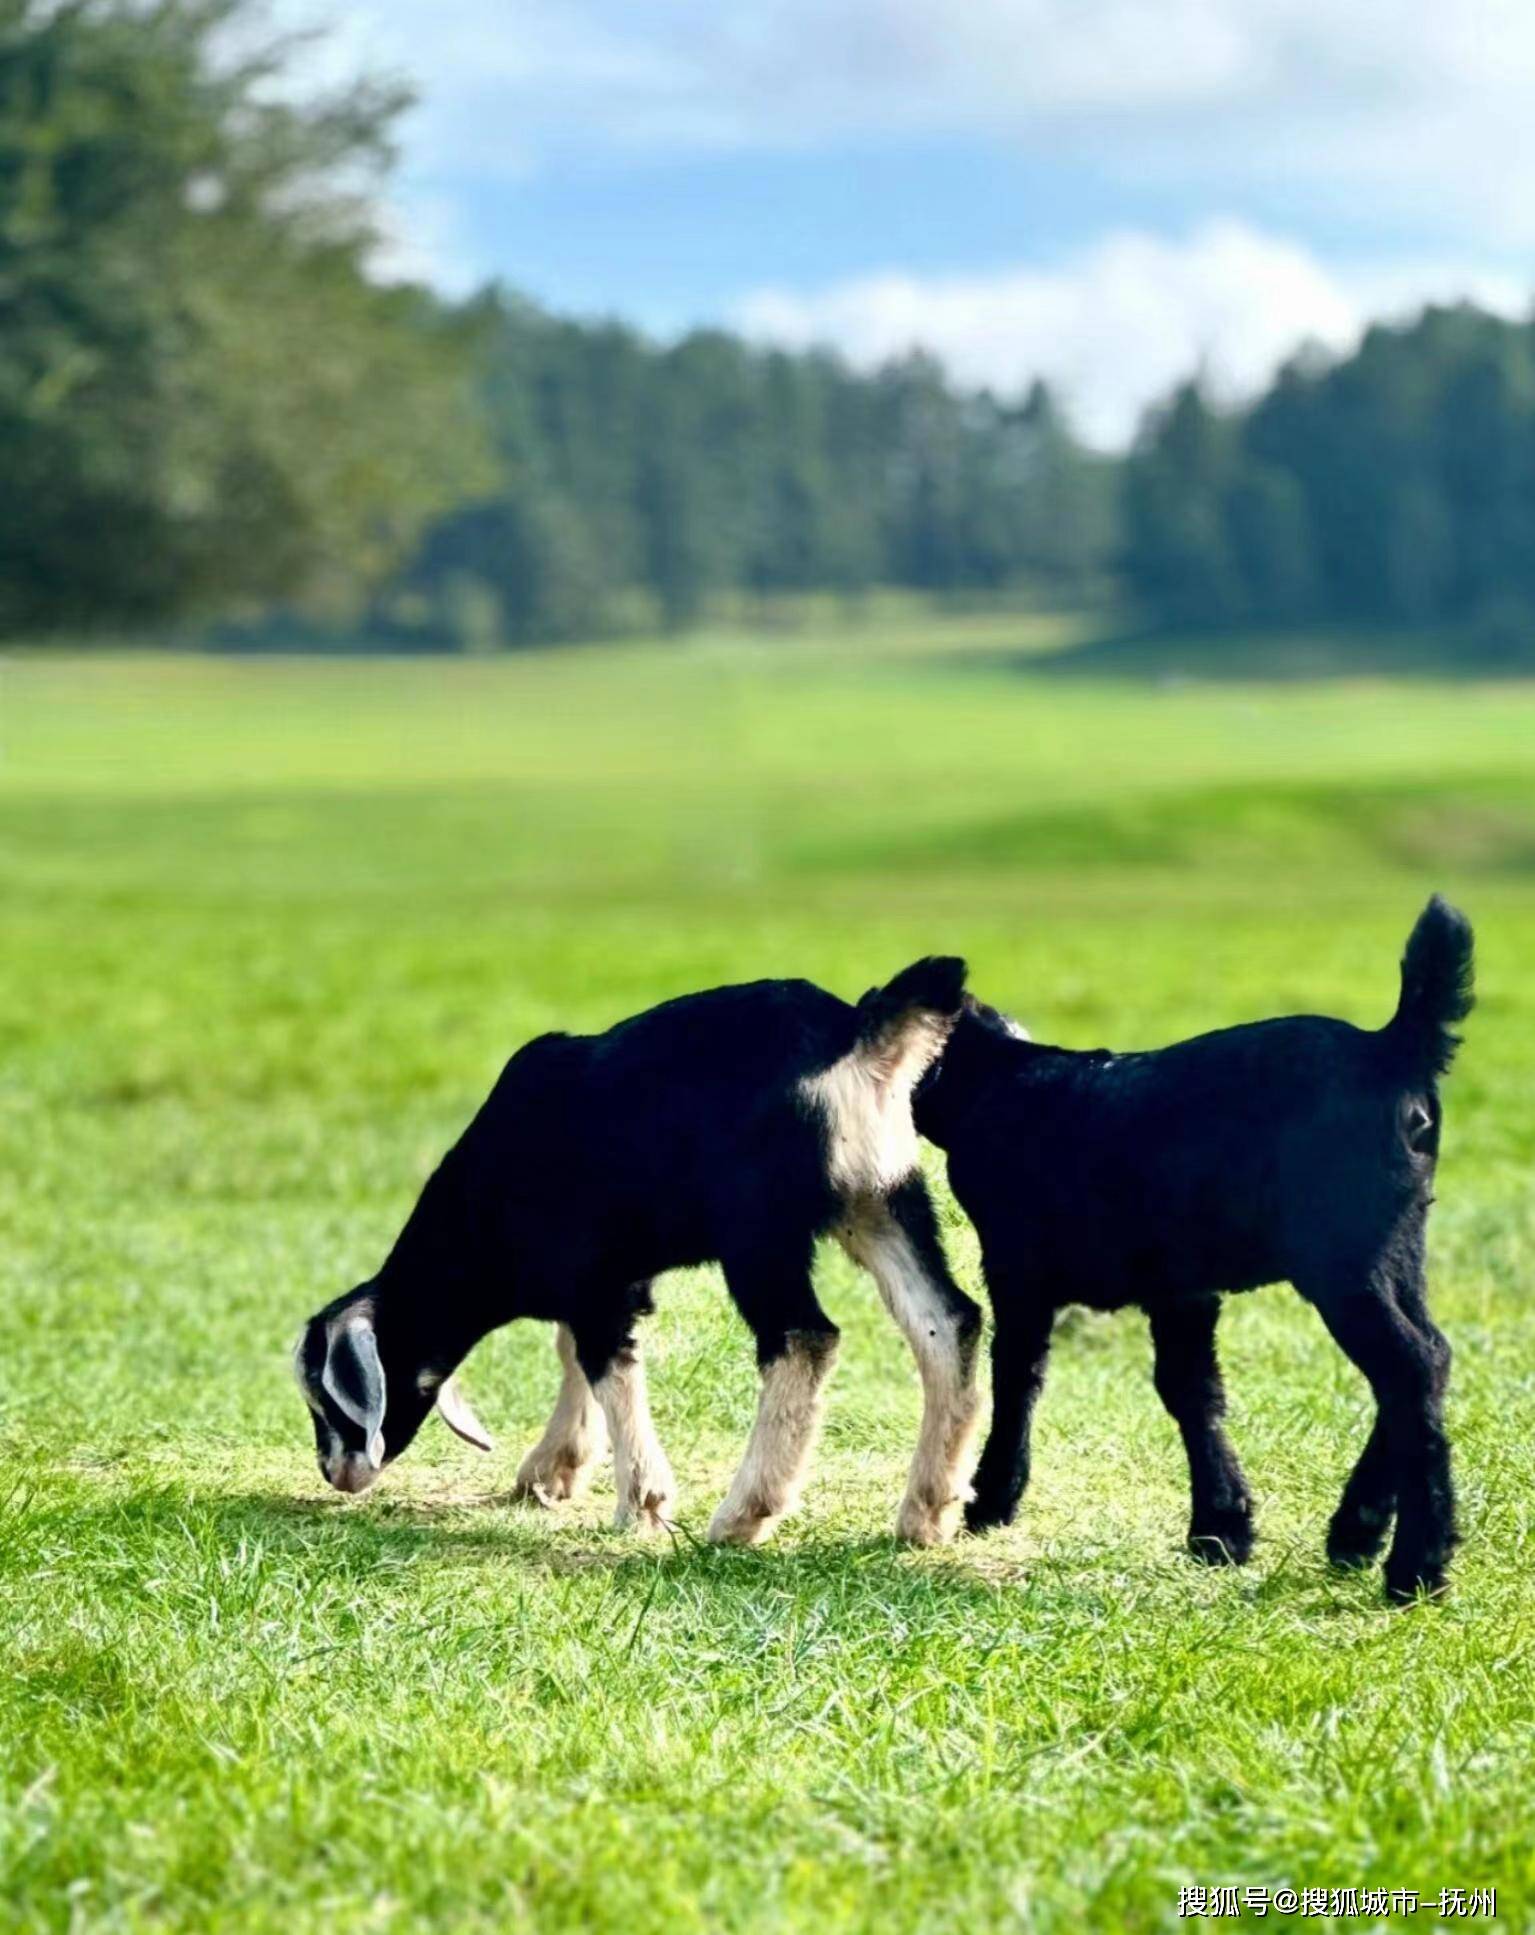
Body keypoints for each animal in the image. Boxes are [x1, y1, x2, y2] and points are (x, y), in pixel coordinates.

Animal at [296, 959, 983, 1548]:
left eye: (328, 1398)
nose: (337, 1471)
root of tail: (856, 1035)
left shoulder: (595, 1283)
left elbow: (606, 1364)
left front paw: (641, 1504)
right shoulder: (608, 1282)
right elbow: (574, 1352)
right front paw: (554, 1469)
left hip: (760, 1230)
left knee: (803, 1338)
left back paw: (743, 1515)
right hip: (884, 1200)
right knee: (946, 1321)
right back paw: (926, 1512)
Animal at [909, 897, 1471, 1594]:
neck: (993, 1083)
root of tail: (1391, 1047)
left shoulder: (1019, 1269)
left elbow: (1018, 1375)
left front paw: (992, 1500)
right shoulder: (1181, 1286)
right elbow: (1192, 1388)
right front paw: (1223, 1527)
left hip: (1345, 1259)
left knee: (1410, 1365)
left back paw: (1416, 1564)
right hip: (1399, 1248)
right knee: (1430, 1358)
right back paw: (1358, 1529)